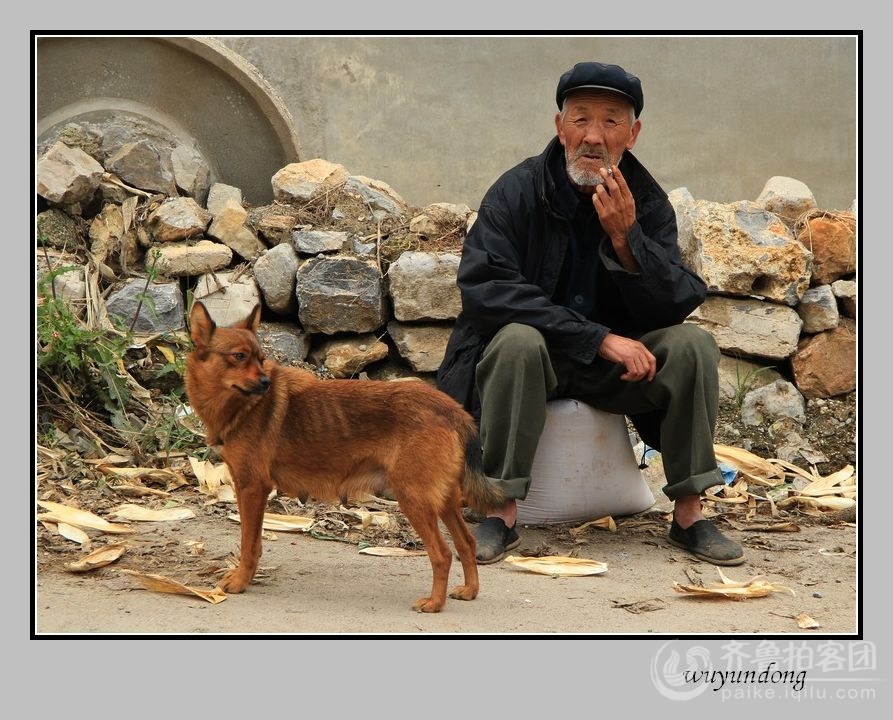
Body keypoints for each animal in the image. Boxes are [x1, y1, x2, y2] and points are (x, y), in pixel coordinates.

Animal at [183, 300, 502, 612]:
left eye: (261, 359)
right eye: (239, 357)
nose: (265, 383)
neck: (240, 407)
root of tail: (450, 408)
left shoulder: (252, 489)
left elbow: (249, 544)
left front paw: (240, 582)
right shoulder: (249, 490)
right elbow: (254, 543)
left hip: (414, 499)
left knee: (443, 553)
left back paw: (435, 603)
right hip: (443, 500)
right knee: (466, 543)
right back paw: (470, 590)